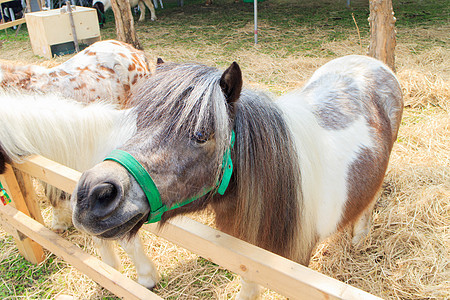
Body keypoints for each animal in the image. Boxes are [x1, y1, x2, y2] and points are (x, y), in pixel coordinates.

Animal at [69, 54, 400, 298]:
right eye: (140, 122)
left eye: (201, 135)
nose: (91, 194)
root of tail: (373, 62)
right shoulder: (251, 260)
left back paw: (359, 237)